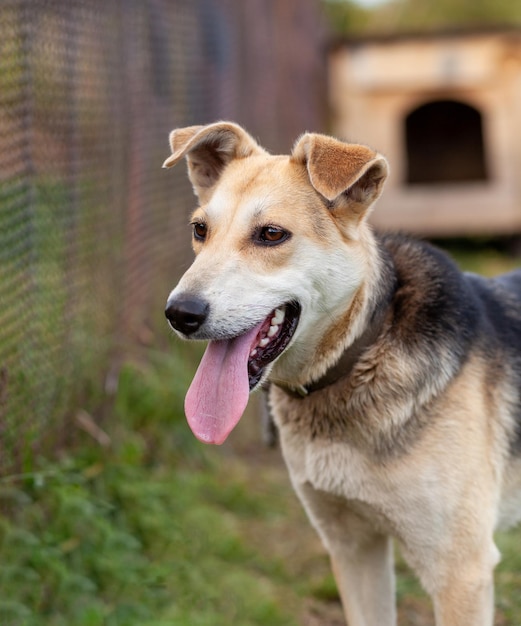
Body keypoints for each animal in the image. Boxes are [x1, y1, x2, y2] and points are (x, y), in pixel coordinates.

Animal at [161, 122, 520, 624]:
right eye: (200, 230)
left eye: (271, 234)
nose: (180, 314)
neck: (361, 350)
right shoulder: (353, 547)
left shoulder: (459, 572)